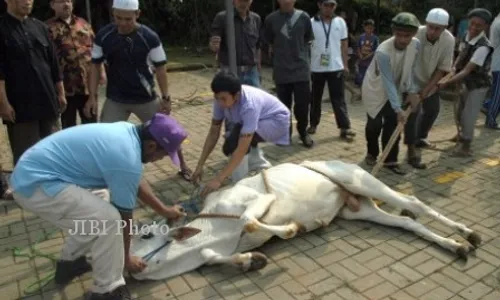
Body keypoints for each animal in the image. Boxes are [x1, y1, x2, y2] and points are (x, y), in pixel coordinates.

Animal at [129, 161, 480, 280]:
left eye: (145, 234)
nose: (131, 267)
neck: (213, 229)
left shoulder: (255, 202)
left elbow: (250, 221)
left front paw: (292, 228)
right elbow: (216, 257)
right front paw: (252, 261)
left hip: (363, 183)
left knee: (412, 203)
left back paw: (468, 233)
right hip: (357, 209)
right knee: (408, 222)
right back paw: (457, 246)